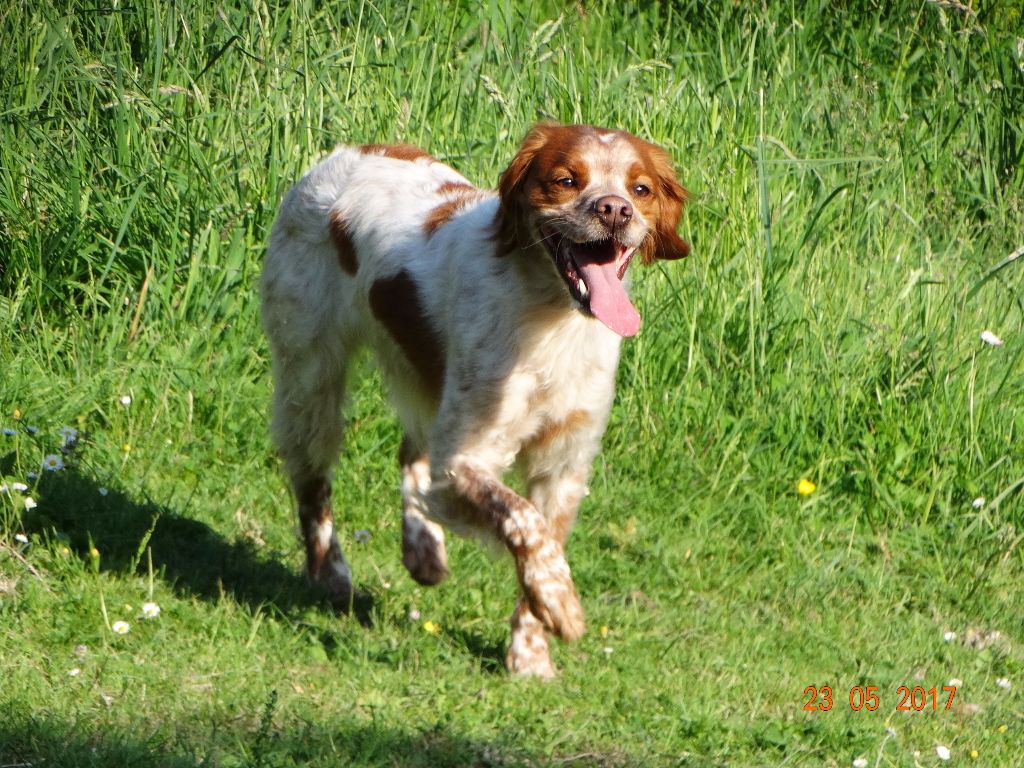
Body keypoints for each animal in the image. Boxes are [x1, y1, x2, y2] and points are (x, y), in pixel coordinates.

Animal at [260, 121, 692, 679]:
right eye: (566, 180)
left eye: (640, 189)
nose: (615, 210)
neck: (552, 319)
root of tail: (340, 155)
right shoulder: (467, 458)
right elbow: (523, 523)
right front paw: (564, 606)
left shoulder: (564, 463)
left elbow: (541, 537)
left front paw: (531, 654)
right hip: (311, 375)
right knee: (312, 480)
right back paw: (329, 573)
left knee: (411, 454)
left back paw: (423, 551)